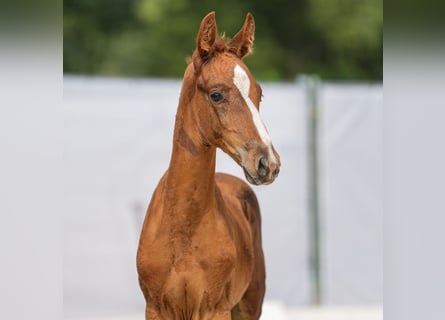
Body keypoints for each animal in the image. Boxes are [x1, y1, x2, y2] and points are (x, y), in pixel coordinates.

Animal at [137, 11, 280, 320]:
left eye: (259, 94)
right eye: (216, 94)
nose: (268, 163)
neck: (182, 230)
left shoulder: (215, 308)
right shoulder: (155, 308)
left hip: (250, 305)